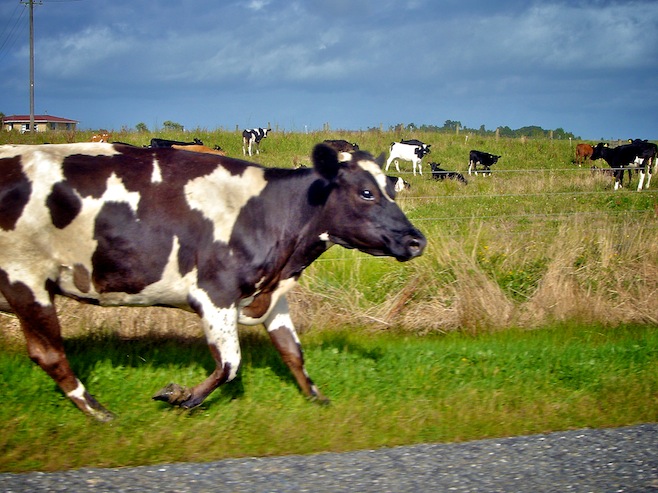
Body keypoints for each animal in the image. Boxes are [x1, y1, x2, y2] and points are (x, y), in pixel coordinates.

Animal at [0, 142, 426, 421]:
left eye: (391, 187)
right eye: (366, 193)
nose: (415, 240)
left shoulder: (271, 297)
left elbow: (293, 352)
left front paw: (317, 398)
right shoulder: (215, 293)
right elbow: (230, 363)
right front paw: (182, 397)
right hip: (26, 279)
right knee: (49, 354)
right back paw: (97, 411)